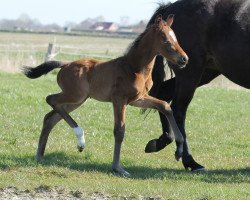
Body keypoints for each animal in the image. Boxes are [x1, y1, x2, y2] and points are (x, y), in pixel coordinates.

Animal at [23, 15, 188, 175]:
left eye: (176, 37)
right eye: (165, 39)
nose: (184, 59)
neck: (134, 68)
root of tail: (65, 64)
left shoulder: (138, 99)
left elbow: (165, 106)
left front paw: (179, 150)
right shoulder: (119, 100)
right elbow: (119, 130)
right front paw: (117, 168)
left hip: (77, 100)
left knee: (50, 117)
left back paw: (40, 155)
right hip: (75, 95)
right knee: (50, 99)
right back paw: (80, 139)